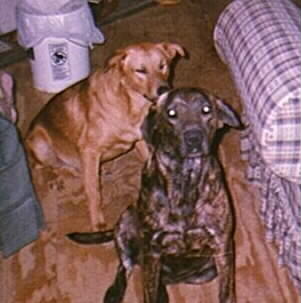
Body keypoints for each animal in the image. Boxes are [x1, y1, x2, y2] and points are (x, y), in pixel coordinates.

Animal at [26, 41, 185, 229]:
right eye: (140, 70)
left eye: (162, 65)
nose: (164, 89)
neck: (129, 102)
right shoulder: (89, 150)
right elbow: (93, 192)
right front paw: (97, 222)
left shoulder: (139, 141)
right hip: (40, 143)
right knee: (45, 166)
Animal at [67, 88, 240, 303]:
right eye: (171, 113)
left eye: (206, 109)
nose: (194, 138)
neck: (184, 180)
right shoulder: (152, 250)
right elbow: (147, 290)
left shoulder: (222, 246)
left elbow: (226, 293)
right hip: (126, 221)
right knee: (125, 264)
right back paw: (114, 293)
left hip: (206, 271)